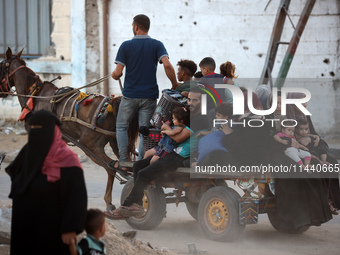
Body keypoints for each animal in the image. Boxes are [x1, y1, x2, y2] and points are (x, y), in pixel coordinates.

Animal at [0, 47, 139, 211]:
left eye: (1, 65)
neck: (34, 95)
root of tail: (111, 103)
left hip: (91, 146)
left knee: (111, 167)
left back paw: (110, 202)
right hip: (115, 142)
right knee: (126, 164)